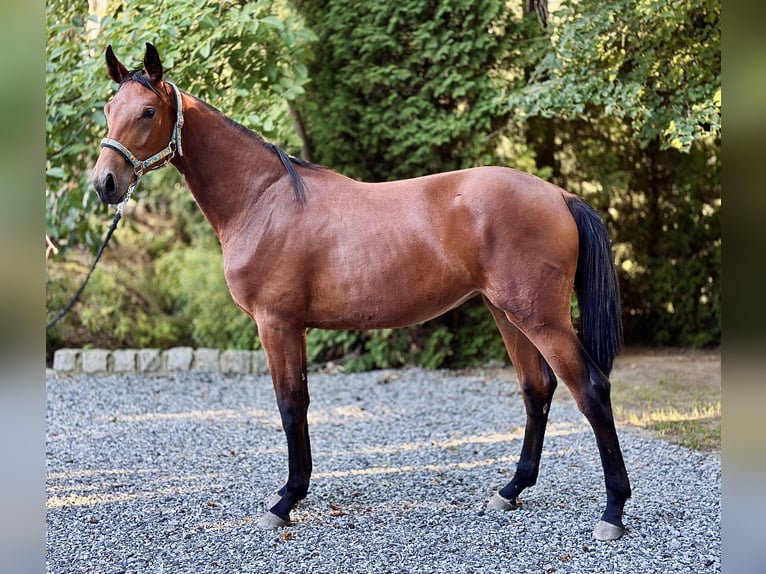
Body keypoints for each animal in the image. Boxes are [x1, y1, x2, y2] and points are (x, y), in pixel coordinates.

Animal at [93, 42, 632, 544]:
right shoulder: (294, 328)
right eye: (108, 107)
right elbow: (300, 402)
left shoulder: (276, 324)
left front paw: (284, 502)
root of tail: (559, 195)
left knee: (591, 390)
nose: (105, 183)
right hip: (507, 312)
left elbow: (289, 406)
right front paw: (294, 492)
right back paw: (511, 490)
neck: (263, 199)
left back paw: (613, 512)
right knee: (536, 389)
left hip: (540, 317)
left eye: (148, 111)